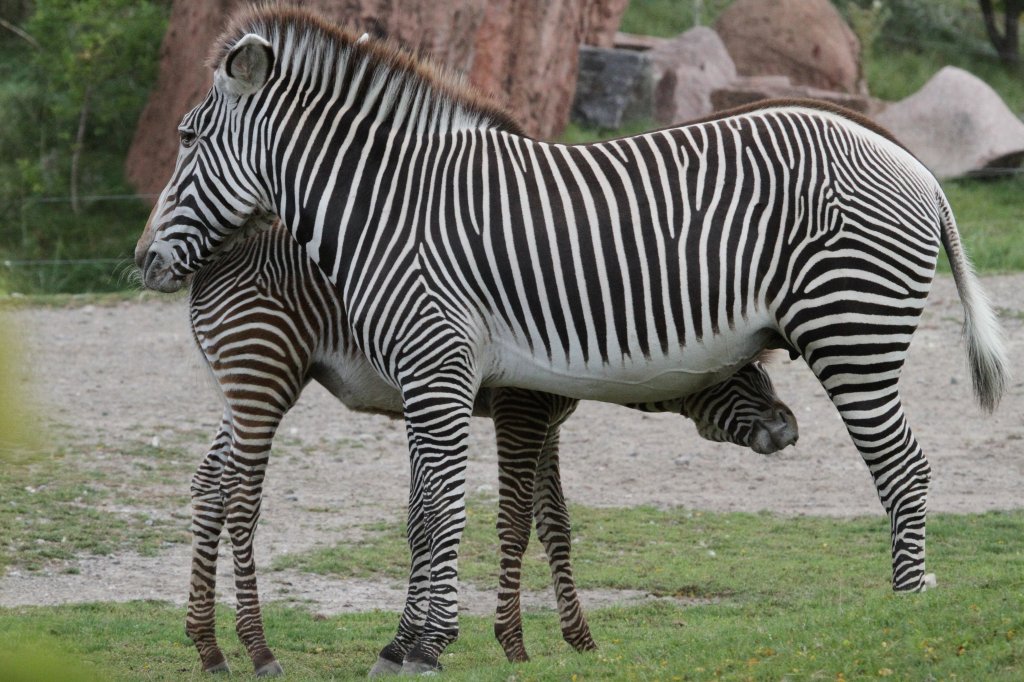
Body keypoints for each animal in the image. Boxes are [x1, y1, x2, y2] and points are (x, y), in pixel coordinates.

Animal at [180, 220, 794, 671]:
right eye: (741, 372)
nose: (789, 427)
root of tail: (210, 265)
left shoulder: (546, 422)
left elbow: (555, 525)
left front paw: (579, 639)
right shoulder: (519, 411)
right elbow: (514, 522)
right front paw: (513, 643)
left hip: (240, 390)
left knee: (210, 485)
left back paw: (209, 647)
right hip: (264, 377)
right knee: (241, 496)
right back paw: (258, 649)